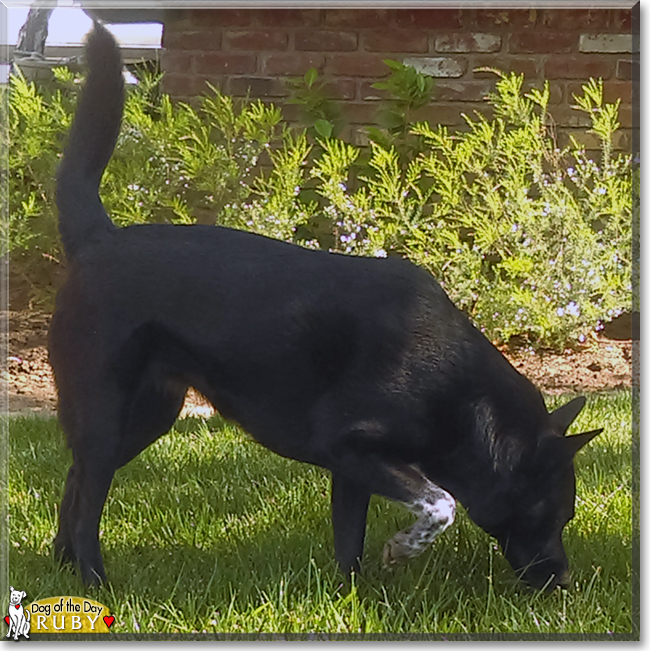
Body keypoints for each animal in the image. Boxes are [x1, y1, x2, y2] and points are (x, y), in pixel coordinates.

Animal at [48, 22, 600, 592]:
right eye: (554, 513)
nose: (562, 582)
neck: (464, 396)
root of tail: (99, 238)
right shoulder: (352, 446)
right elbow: (441, 503)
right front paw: (403, 549)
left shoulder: (352, 466)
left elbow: (349, 540)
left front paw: (350, 595)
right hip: (106, 409)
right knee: (87, 497)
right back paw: (93, 580)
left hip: (149, 414)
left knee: (75, 477)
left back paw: (63, 563)